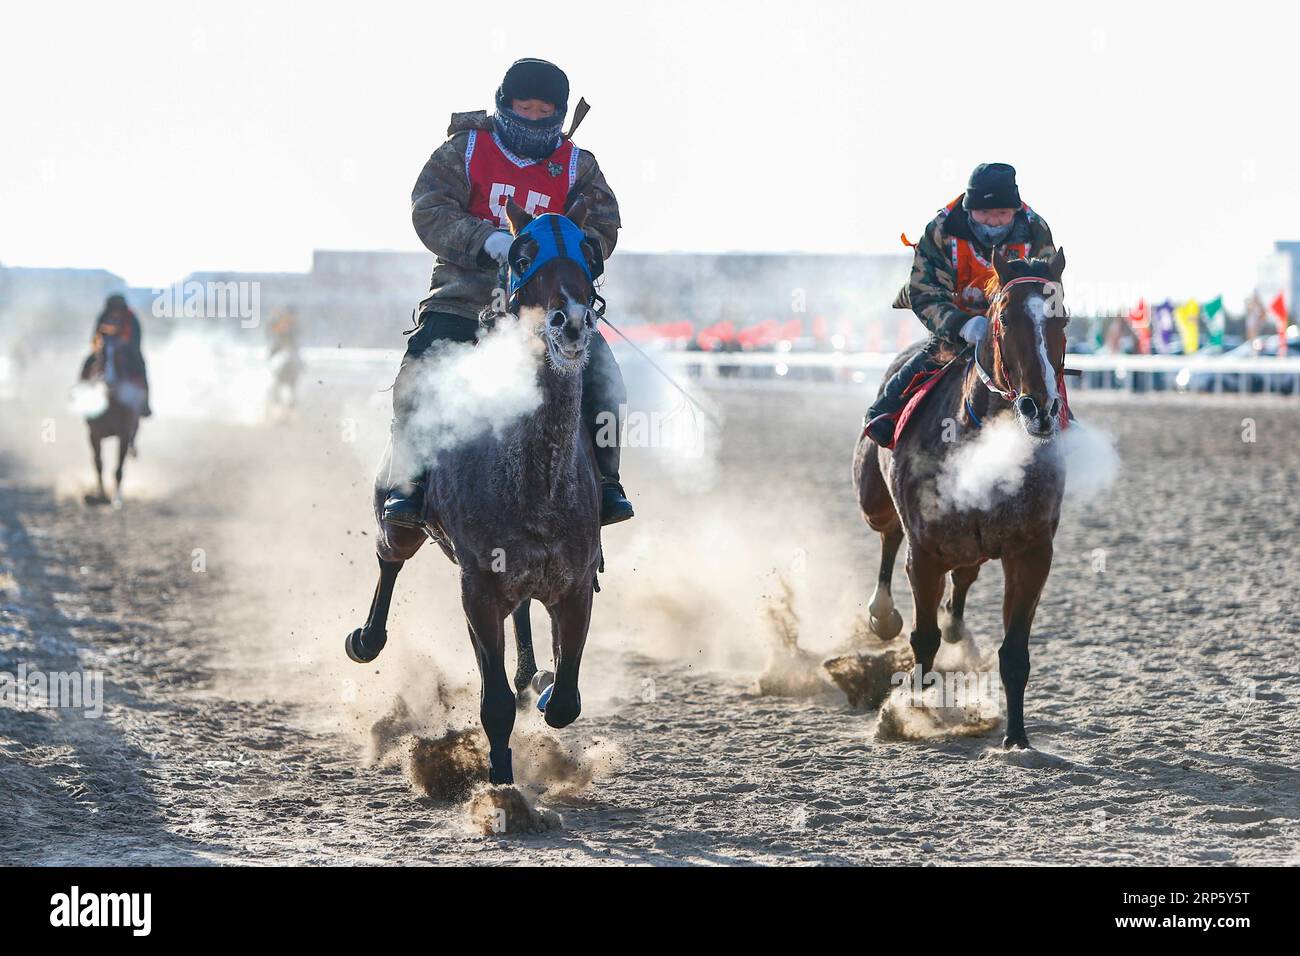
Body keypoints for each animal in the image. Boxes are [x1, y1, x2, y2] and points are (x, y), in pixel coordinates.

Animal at [79, 338, 145, 509]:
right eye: (100, 357)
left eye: (119, 358)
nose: (108, 381)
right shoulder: (93, 434)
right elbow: (99, 463)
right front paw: (100, 494)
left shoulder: (123, 435)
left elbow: (118, 468)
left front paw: (117, 499)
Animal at [340, 196, 603, 785]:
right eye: (522, 253)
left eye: (590, 251)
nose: (572, 322)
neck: (536, 487)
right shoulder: (477, 587)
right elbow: (495, 704)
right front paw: (502, 789)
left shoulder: (575, 585)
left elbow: (567, 700)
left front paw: (545, 685)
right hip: (398, 520)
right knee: (388, 557)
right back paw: (366, 639)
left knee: (523, 615)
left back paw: (532, 673)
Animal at [852, 244, 1066, 749]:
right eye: (1004, 318)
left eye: (1064, 319)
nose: (1041, 408)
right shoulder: (926, 552)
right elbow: (922, 639)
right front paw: (912, 710)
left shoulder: (1032, 551)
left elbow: (1015, 653)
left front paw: (1016, 738)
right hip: (874, 501)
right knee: (888, 536)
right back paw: (882, 613)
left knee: (965, 576)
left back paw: (955, 624)